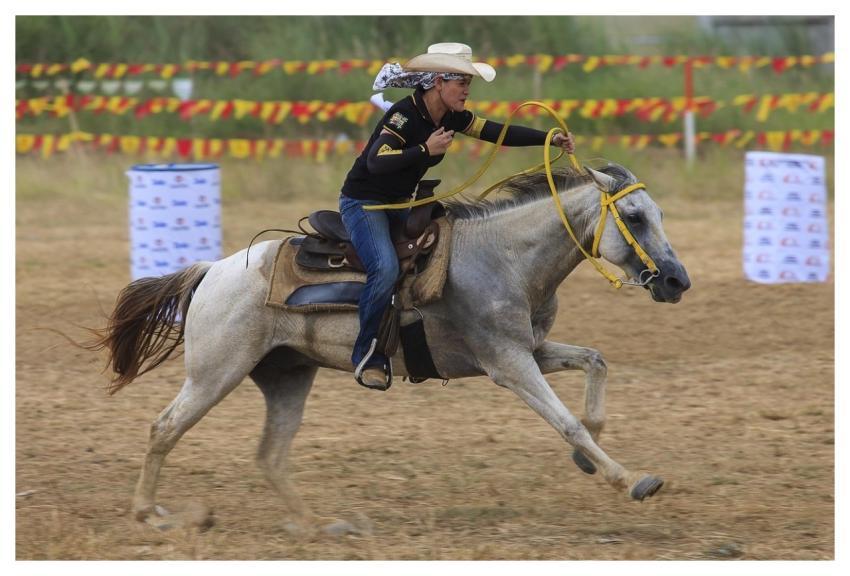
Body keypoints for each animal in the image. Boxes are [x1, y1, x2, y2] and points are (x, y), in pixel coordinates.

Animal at [88, 163, 690, 531]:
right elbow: (566, 421)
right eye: (634, 217)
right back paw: (150, 514)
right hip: (216, 372)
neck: (503, 256)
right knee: (165, 428)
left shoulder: (528, 349)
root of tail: (212, 269)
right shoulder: (508, 363)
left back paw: (318, 526)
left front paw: (588, 459)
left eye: (659, 214)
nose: (677, 281)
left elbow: (595, 362)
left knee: (271, 455)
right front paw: (630, 480)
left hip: (286, 375)